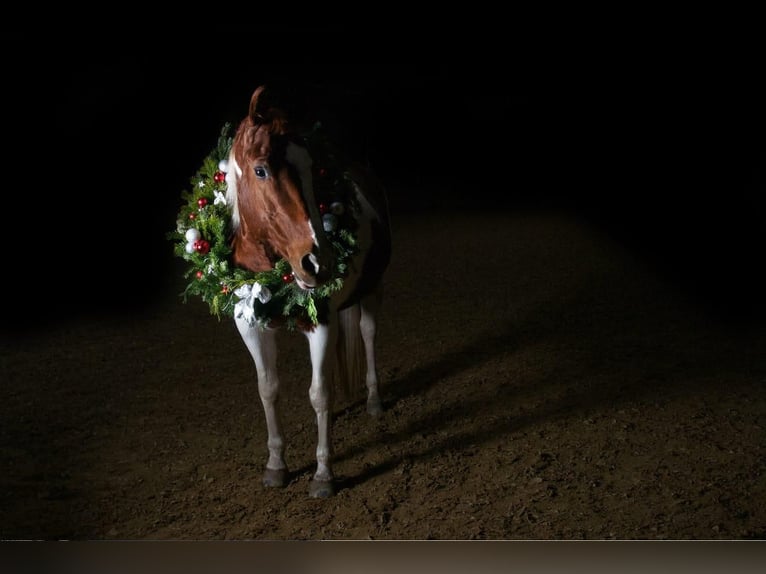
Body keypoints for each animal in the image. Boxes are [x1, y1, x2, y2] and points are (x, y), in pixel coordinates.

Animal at [222, 86, 390, 500]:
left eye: (312, 168)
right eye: (261, 169)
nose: (319, 261)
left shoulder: (321, 324)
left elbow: (319, 394)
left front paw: (323, 474)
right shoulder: (249, 325)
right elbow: (268, 389)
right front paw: (276, 465)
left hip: (373, 289)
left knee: (367, 334)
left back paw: (374, 400)